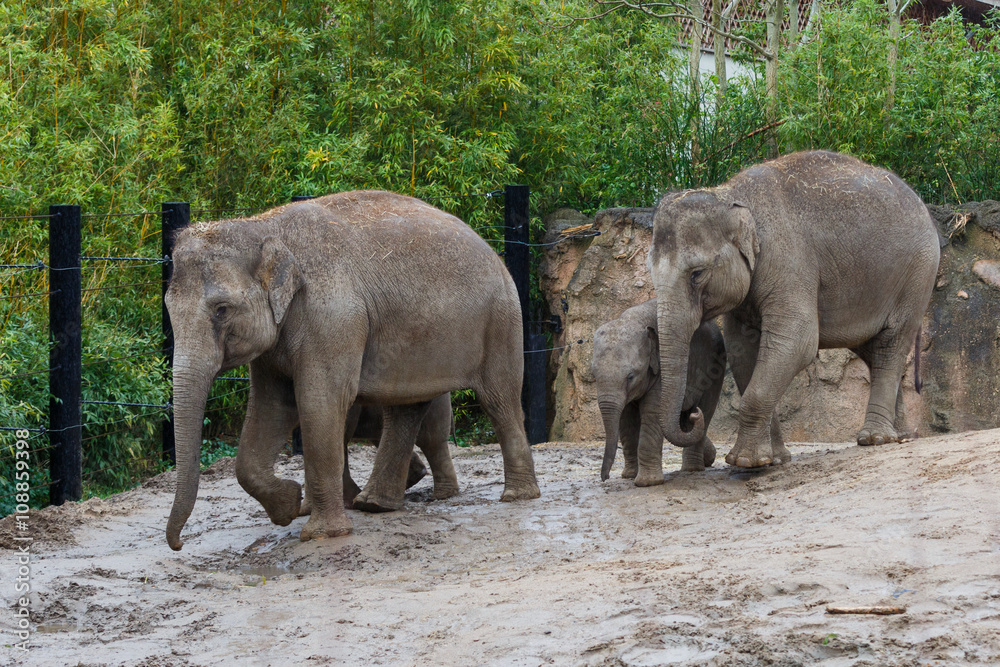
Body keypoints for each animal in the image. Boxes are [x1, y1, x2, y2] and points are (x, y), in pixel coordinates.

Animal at [163, 190, 539, 550]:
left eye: (222, 310)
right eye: (168, 308)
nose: (179, 544)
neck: (262, 225)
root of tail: (491, 248)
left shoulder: (333, 318)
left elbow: (320, 403)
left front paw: (321, 533)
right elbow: (272, 408)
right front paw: (289, 506)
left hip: (501, 320)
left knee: (500, 400)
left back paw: (517, 496)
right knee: (408, 406)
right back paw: (375, 504)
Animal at [592, 299, 724, 486]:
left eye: (630, 376)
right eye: (593, 375)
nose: (605, 478)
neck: (632, 319)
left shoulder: (661, 371)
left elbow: (652, 412)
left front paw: (647, 483)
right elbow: (626, 419)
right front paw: (629, 476)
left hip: (715, 369)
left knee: (705, 410)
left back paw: (692, 469)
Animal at [647, 151, 939, 468]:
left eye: (697, 274)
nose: (693, 414)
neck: (731, 195)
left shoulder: (789, 261)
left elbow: (797, 342)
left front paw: (745, 462)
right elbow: (741, 352)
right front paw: (774, 459)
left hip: (917, 276)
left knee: (890, 343)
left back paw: (875, 439)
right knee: (873, 351)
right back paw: (901, 436)